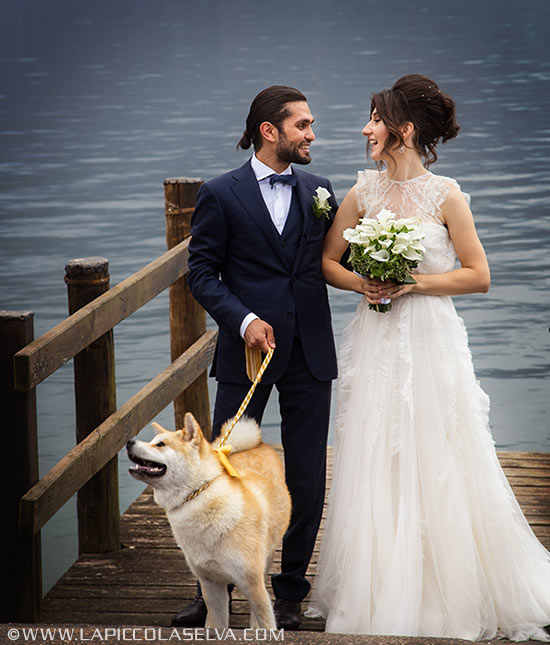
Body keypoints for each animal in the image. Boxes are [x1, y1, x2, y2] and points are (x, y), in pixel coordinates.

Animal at [126, 412, 292, 628]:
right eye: (153, 441)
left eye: (160, 444)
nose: (129, 442)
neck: (197, 497)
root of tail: (260, 444)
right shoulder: (210, 584)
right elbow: (216, 624)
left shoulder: (252, 583)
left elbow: (266, 621)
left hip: (265, 561)